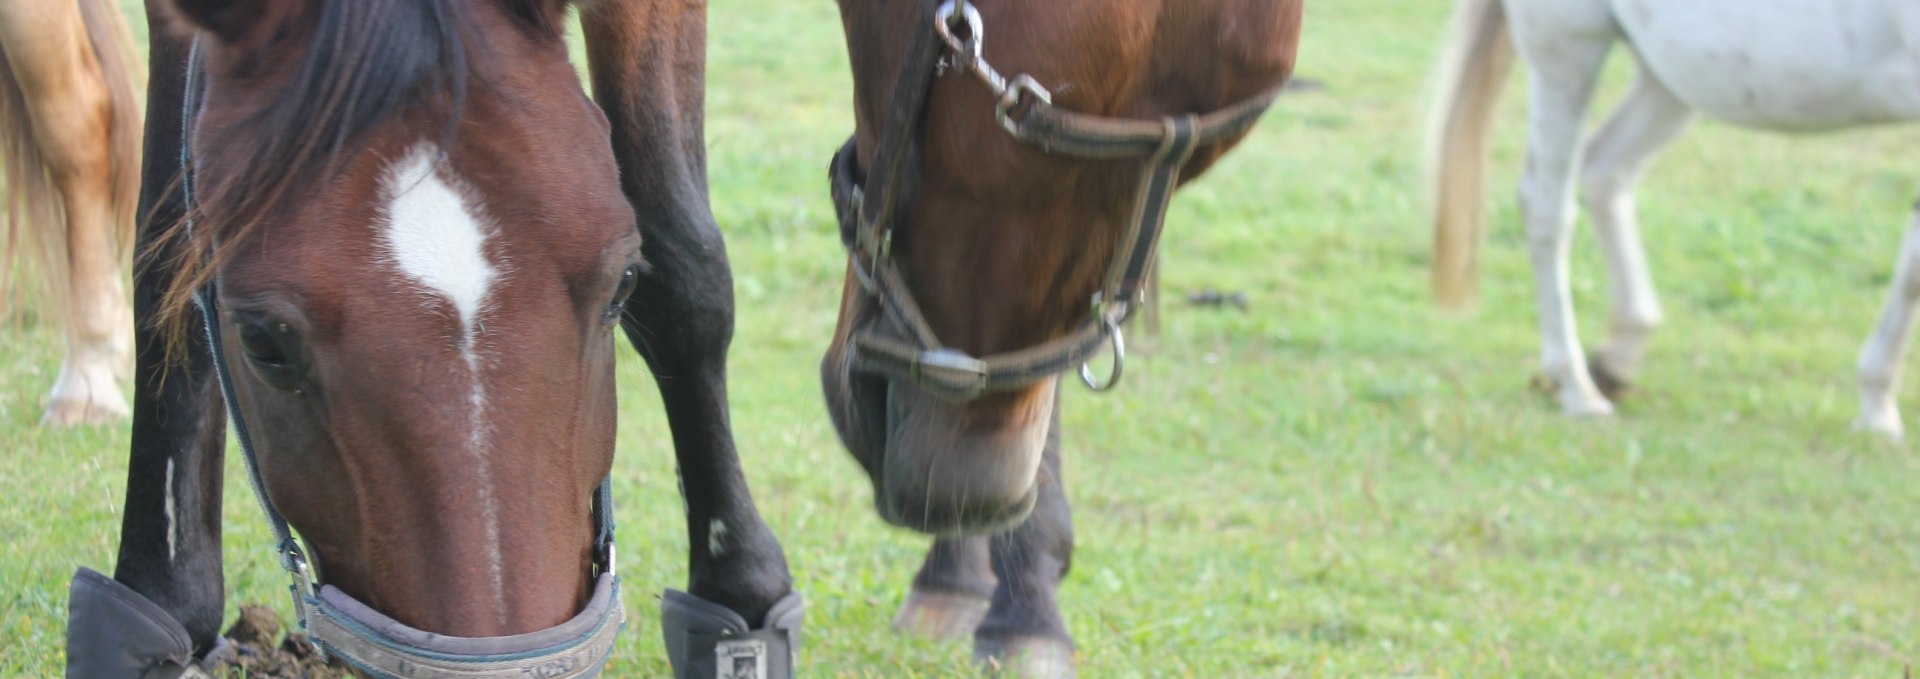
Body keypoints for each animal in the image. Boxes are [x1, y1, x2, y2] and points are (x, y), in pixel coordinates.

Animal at [67, 1, 802, 679]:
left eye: (622, 283)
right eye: (260, 343)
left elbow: (684, 265)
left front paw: (741, 592)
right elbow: (168, 251)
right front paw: (162, 606)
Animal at [1428, 0, 1920, 435]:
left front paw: (1878, 407)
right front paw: (1876, 408)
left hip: (1670, 76)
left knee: (1606, 169)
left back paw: (1619, 354)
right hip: (1567, 50)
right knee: (1548, 205)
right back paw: (1577, 387)